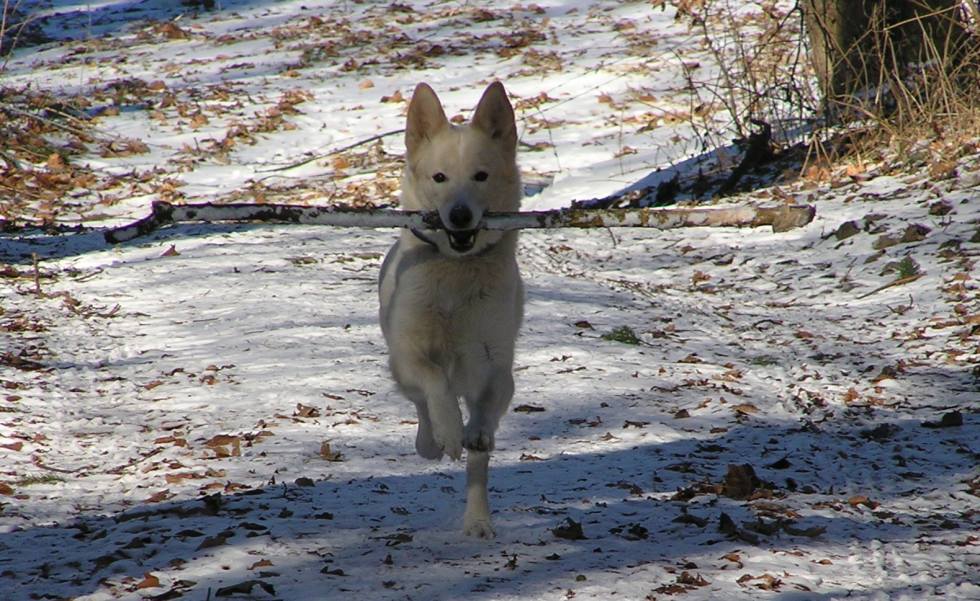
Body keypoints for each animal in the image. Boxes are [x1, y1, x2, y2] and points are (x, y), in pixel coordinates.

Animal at [378, 82, 524, 536]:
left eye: (481, 175)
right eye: (439, 177)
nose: (459, 216)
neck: (456, 271)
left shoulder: (496, 362)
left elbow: (489, 404)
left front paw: (475, 431)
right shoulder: (408, 353)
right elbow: (434, 382)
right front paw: (446, 429)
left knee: (479, 465)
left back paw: (477, 519)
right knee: (421, 404)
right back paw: (434, 440)